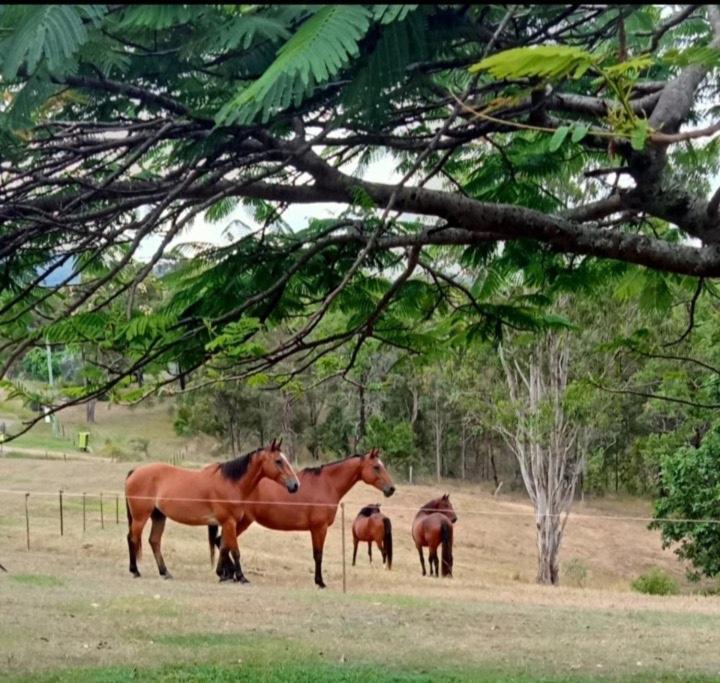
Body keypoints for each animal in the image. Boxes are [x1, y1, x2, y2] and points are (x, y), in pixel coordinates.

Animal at [125, 438, 300, 584]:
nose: (295, 485)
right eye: (278, 461)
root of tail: (135, 471)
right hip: (140, 517)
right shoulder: (229, 522)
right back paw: (135, 571)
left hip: (159, 516)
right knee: (132, 538)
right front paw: (241, 577)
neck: (230, 483)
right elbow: (234, 550)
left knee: (154, 541)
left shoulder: (226, 523)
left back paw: (165, 572)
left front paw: (222, 574)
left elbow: (223, 547)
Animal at [211, 448, 396, 588]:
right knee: (224, 542)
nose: (391, 488)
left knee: (222, 542)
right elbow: (318, 555)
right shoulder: (319, 528)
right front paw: (320, 582)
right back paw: (232, 574)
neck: (327, 484)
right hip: (240, 521)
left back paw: (225, 574)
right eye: (376, 467)